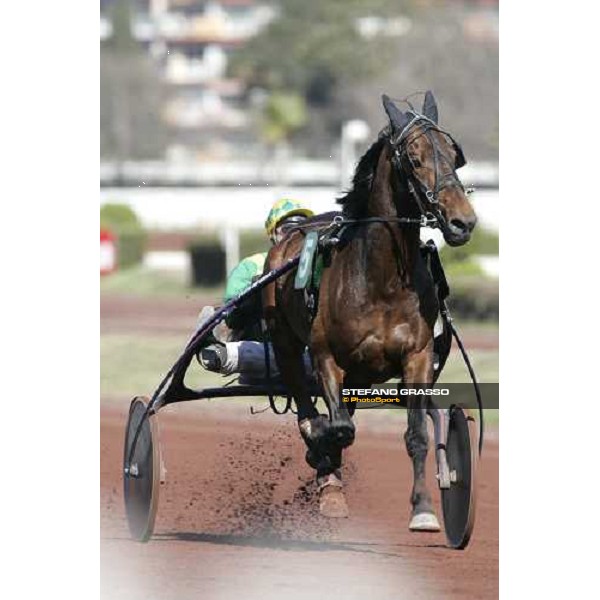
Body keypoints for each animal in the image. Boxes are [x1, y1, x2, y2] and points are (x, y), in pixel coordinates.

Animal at [262, 91, 478, 528]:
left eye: (453, 154)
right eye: (413, 157)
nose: (462, 222)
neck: (382, 281)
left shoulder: (417, 357)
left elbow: (417, 434)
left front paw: (424, 509)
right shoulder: (327, 357)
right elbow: (337, 429)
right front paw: (323, 462)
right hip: (286, 342)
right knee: (307, 405)